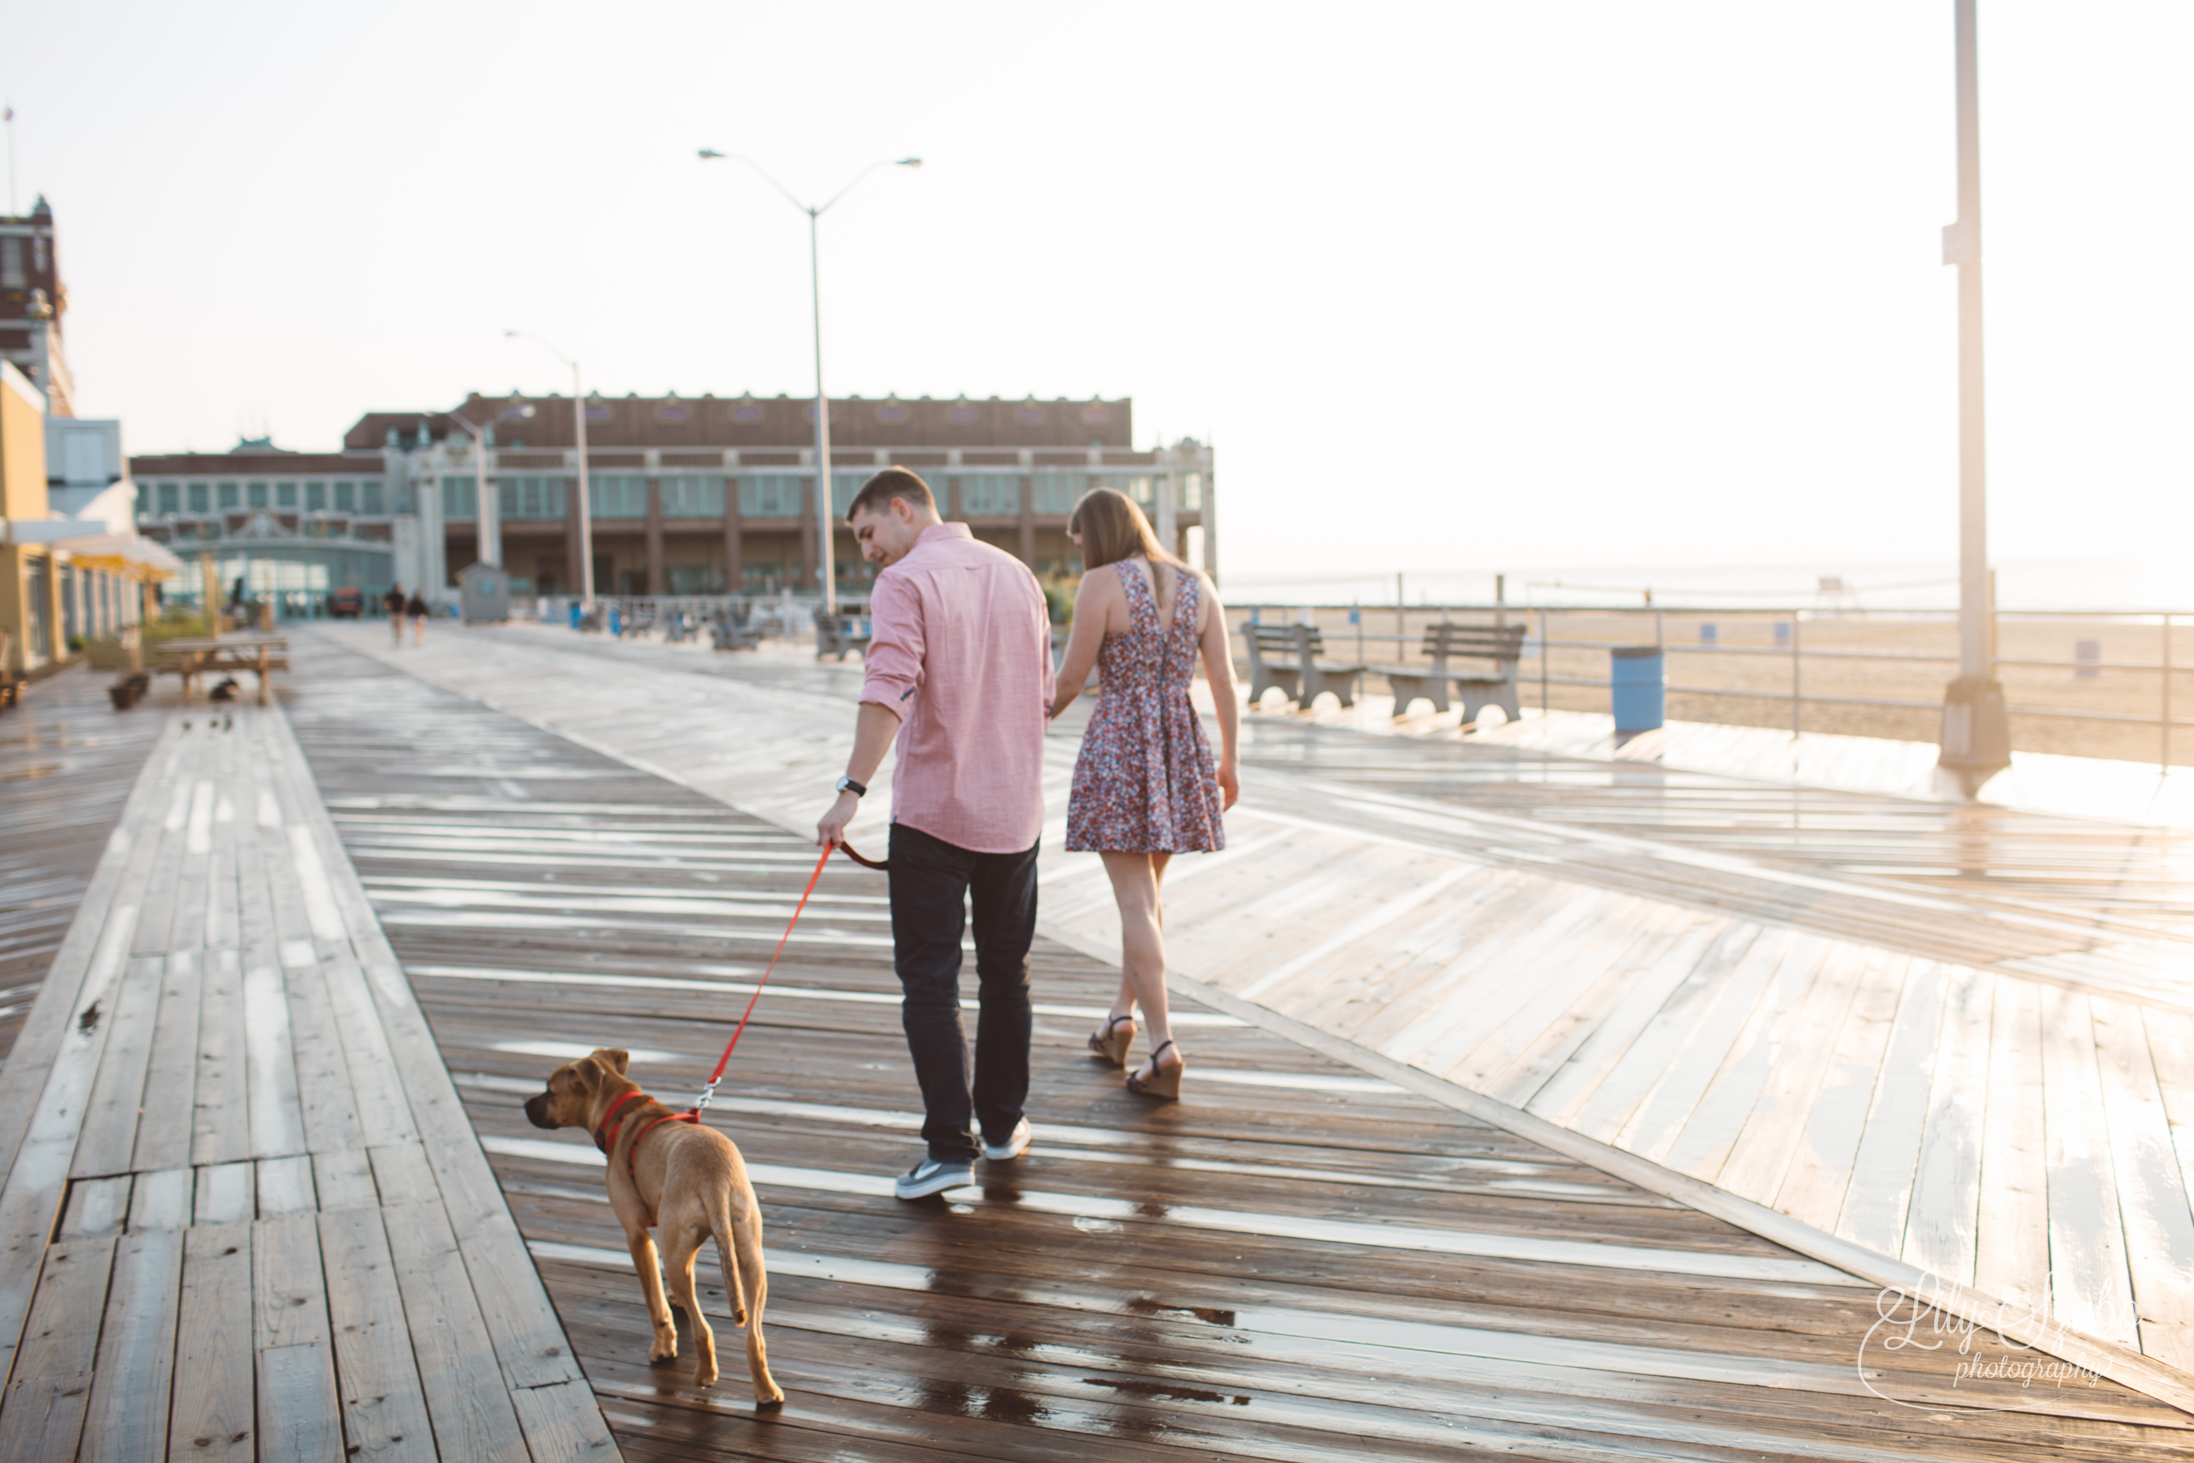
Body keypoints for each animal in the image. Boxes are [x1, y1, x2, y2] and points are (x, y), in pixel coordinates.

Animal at [519, 1052, 781, 1403]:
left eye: (549, 1091)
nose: (524, 1104)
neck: (622, 1112)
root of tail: (714, 1177)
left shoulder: (637, 1235)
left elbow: (653, 1302)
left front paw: (663, 1346)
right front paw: (672, 1301)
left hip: (679, 1252)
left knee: (703, 1329)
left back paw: (704, 1374)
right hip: (748, 1254)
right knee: (754, 1335)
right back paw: (766, 1392)